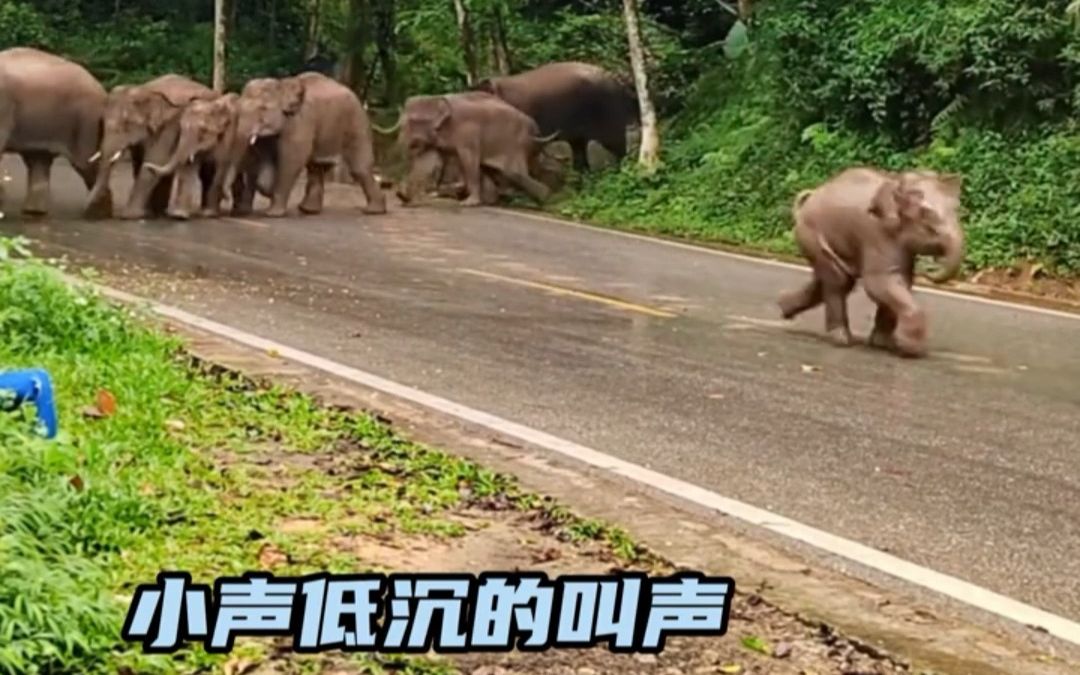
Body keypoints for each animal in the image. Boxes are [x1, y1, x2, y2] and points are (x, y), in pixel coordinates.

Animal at [0, 47, 112, 219]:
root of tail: (102, 91)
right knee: (38, 159)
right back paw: (34, 212)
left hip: (86, 122)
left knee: (86, 163)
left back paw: (98, 213)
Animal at [87, 74, 217, 220]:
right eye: (102, 122)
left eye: (126, 125)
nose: (87, 208)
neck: (144, 91)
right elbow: (140, 162)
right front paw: (146, 213)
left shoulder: (169, 125)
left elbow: (156, 159)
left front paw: (130, 215)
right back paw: (160, 212)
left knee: (207, 172)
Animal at [229, 71, 386, 218]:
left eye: (263, 108)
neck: (281, 84)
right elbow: (260, 159)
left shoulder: (300, 123)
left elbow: (291, 161)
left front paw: (273, 214)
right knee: (315, 168)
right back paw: (308, 210)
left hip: (357, 123)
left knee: (359, 168)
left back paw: (373, 211)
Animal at [383, 92, 558, 207]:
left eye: (413, 121)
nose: (392, 186)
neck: (437, 98)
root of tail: (535, 130)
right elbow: (428, 160)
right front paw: (405, 197)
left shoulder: (468, 133)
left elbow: (468, 160)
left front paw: (469, 203)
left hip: (516, 144)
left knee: (514, 173)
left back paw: (544, 198)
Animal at [777, 166, 965, 358]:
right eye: (927, 215)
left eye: (957, 209)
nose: (929, 269)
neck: (897, 182)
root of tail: (809, 198)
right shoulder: (878, 234)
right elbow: (879, 283)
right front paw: (912, 351)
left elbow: (902, 281)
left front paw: (884, 344)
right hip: (811, 234)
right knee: (838, 281)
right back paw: (842, 339)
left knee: (832, 279)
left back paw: (784, 307)